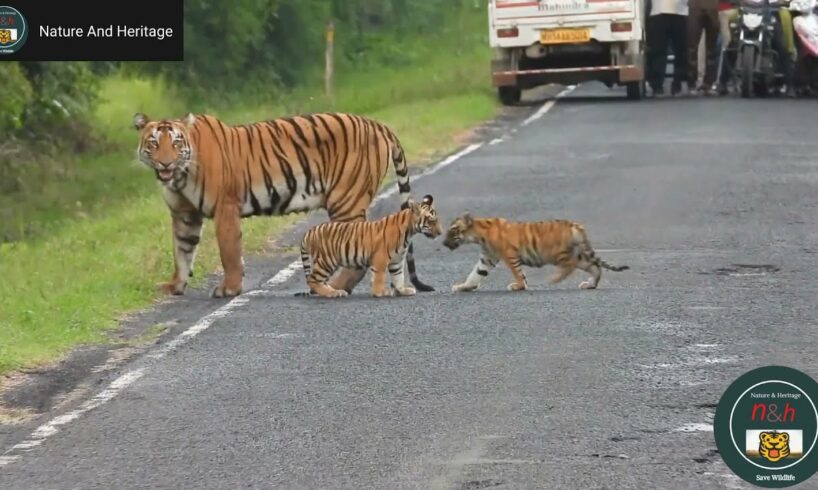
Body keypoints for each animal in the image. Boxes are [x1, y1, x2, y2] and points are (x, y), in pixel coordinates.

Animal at [132, 111, 434, 298]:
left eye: (176, 143)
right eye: (154, 143)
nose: (165, 163)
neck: (180, 176)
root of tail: (377, 124)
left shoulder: (225, 207)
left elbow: (229, 252)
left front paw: (229, 288)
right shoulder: (184, 214)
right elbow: (182, 251)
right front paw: (175, 286)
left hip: (346, 199)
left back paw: (331, 287)